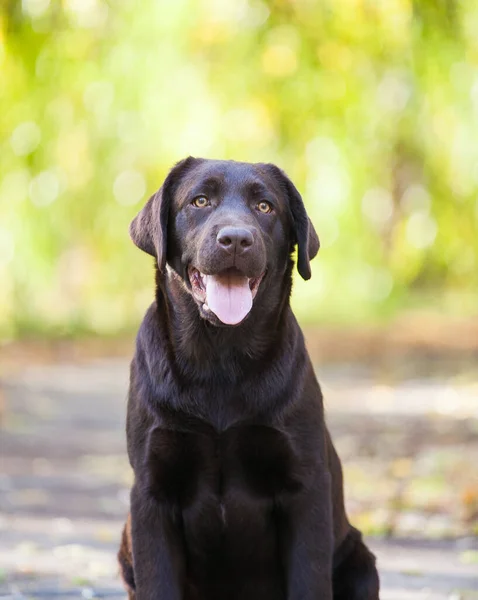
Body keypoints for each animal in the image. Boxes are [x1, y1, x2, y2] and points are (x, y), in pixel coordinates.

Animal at [117, 157, 380, 596]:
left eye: (265, 206)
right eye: (200, 201)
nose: (236, 239)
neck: (221, 359)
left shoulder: (305, 488)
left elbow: (310, 580)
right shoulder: (151, 491)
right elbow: (158, 582)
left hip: (360, 559)